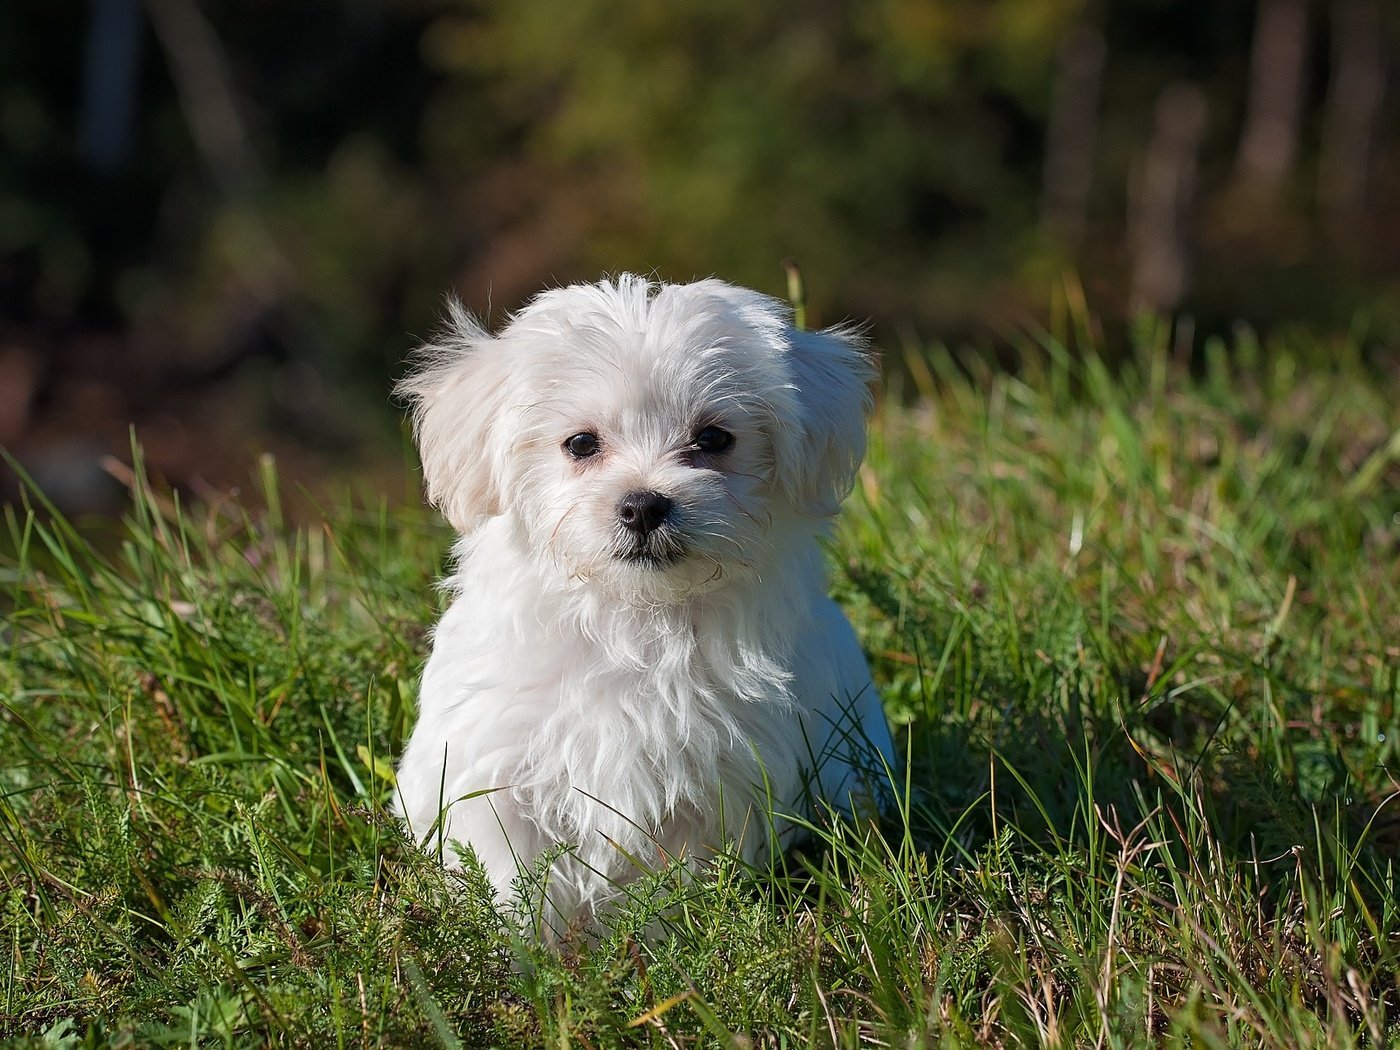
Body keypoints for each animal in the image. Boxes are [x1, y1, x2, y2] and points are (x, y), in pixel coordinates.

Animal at [392, 275, 896, 935]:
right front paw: (528, 954)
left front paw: (660, 944)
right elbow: (513, 879)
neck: (636, 619)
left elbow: (673, 885)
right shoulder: (494, 771)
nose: (643, 505)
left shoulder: (716, 785)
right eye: (581, 443)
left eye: (714, 438)